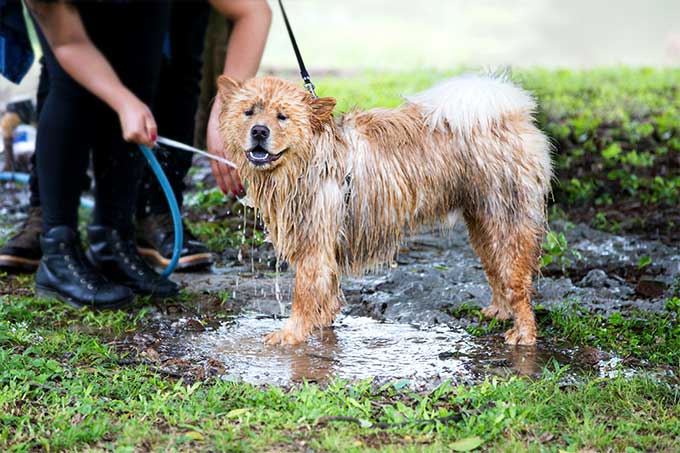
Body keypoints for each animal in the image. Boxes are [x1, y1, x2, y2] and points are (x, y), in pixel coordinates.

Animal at [218, 74, 552, 344]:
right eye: (248, 112)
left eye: (282, 116)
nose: (259, 131)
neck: (307, 161)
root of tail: (513, 115)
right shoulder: (324, 243)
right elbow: (326, 291)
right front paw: (322, 322)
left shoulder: (314, 242)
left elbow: (303, 293)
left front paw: (290, 334)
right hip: (482, 222)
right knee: (496, 270)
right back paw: (499, 310)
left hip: (508, 220)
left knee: (519, 282)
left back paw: (523, 334)